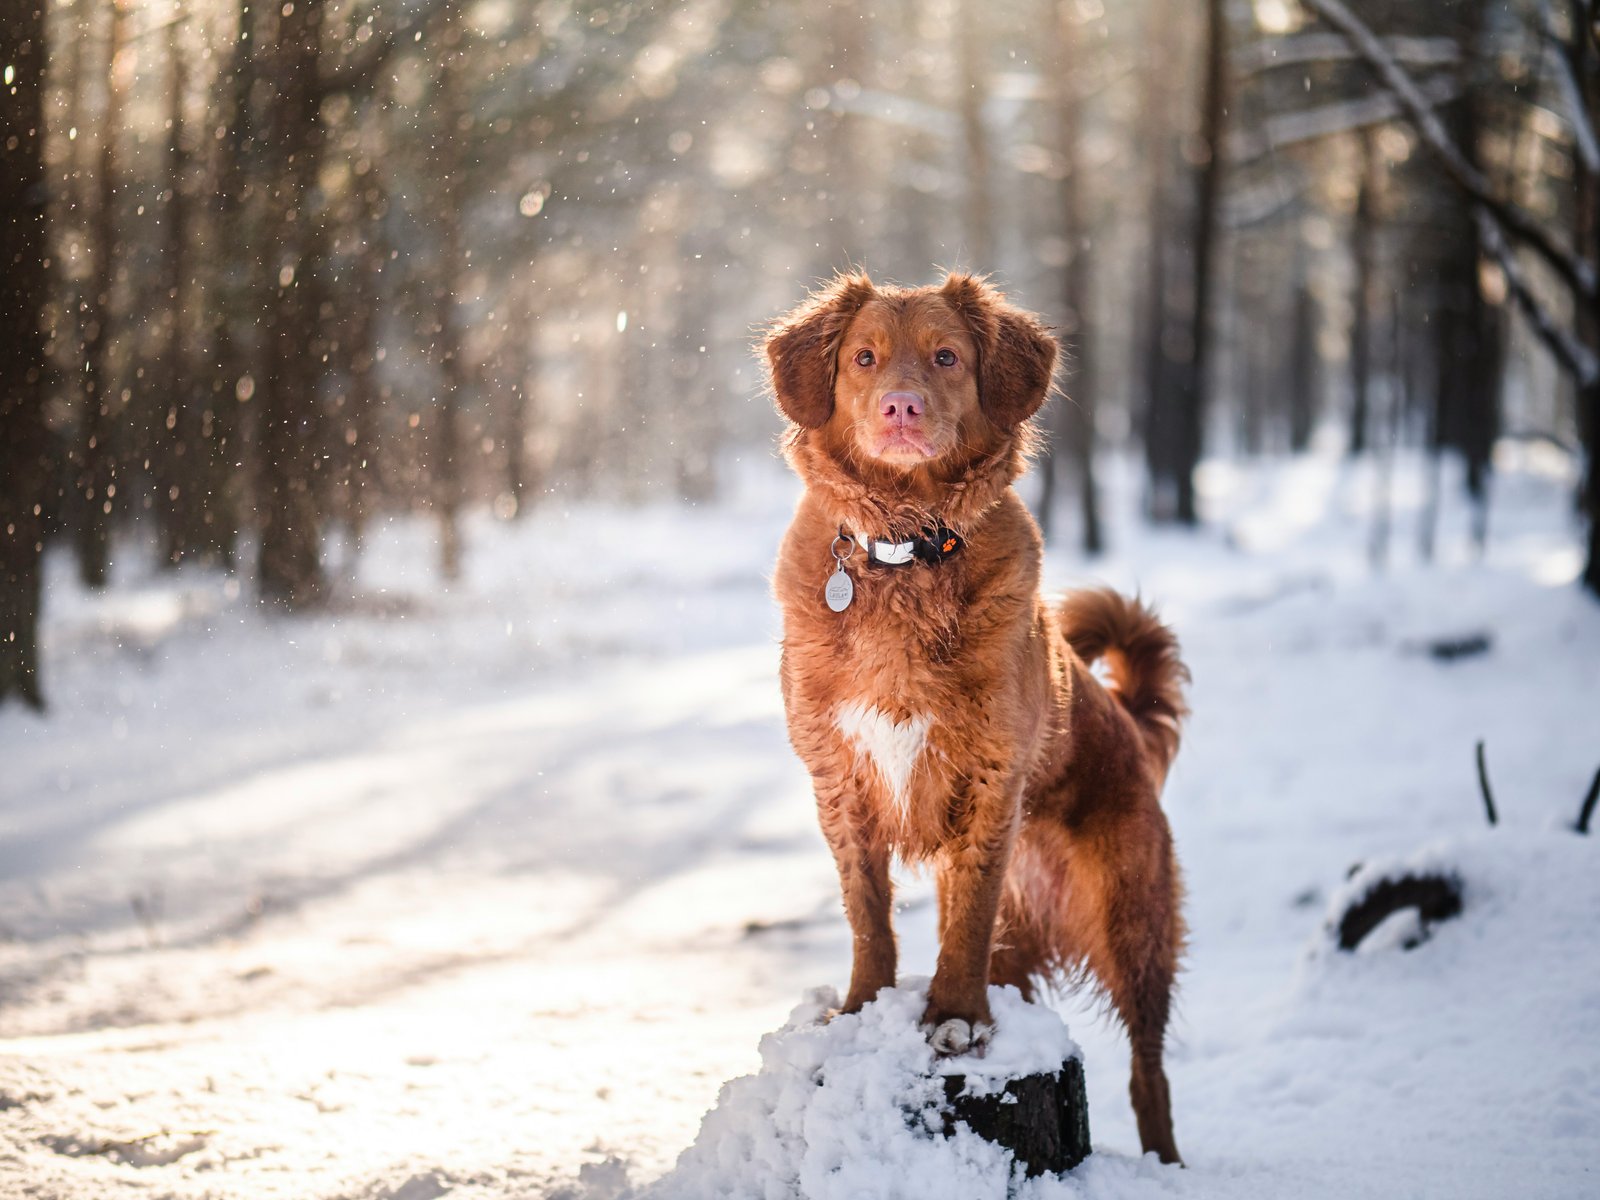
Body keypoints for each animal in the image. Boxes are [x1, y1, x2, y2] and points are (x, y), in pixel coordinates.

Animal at [761, 272, 1190, 1164]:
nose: (900, 407)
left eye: (946, 357)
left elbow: (963, 914)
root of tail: (1130, 732)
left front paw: (954, 1018)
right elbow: (868, 914)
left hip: (1134, 923)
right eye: (864, 358)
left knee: (1149, 1070)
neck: (903, 547)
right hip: (1033, 943)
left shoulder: (991, 780)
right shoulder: (837, 779)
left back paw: (1167, 1158)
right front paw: (861, 1007)